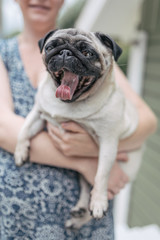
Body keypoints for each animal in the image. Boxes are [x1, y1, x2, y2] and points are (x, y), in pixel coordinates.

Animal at [14, 28, 142, 229]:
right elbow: (24, 129)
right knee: (85, 186)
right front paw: (20, 152)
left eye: (87, 53)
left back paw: (83, 217)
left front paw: (98, 203)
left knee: (97, 186)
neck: (69, 104)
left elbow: (101, 176)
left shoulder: (108, 142)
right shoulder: (39, 113)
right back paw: (80, 209)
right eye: (51, 47)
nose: (65, 52)